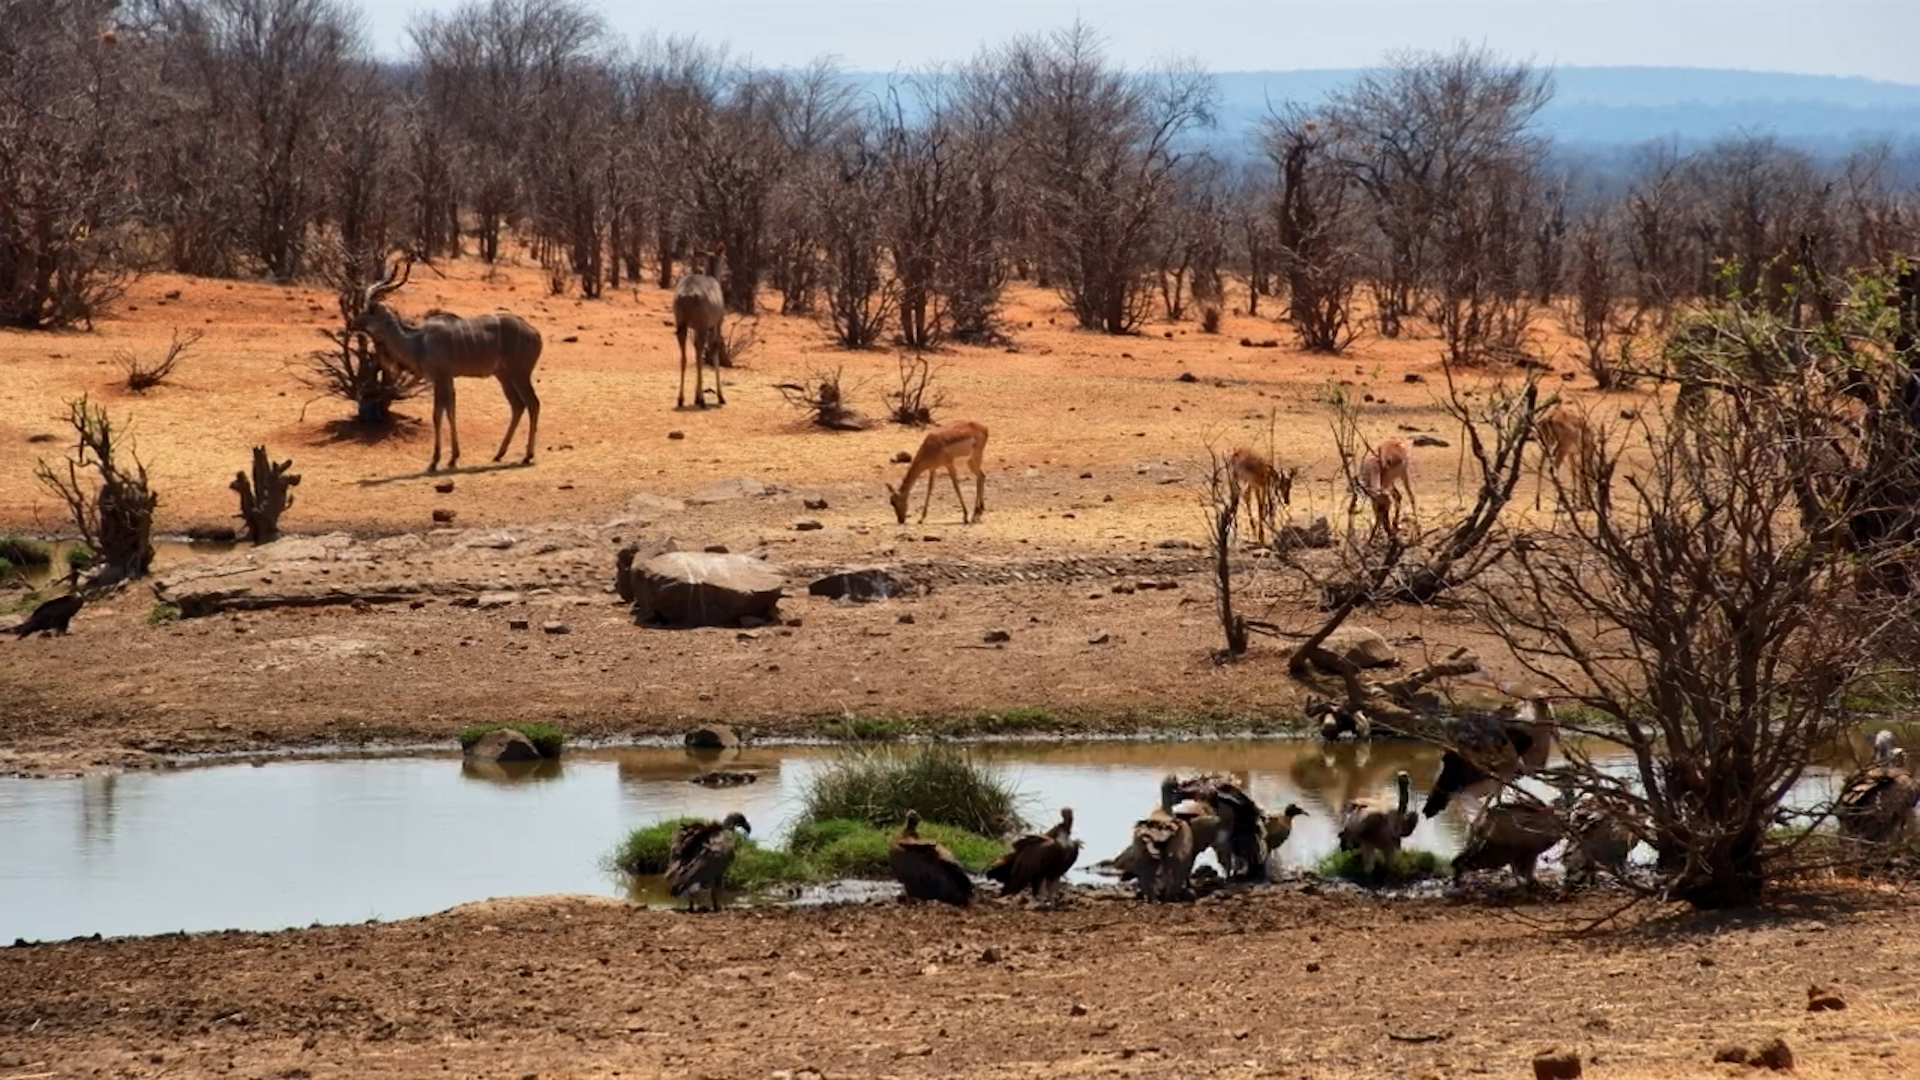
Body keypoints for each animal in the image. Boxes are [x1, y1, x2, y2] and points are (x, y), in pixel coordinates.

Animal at [357, 257, 542, 474]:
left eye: (369, 311)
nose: (353, 323)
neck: (418, 341)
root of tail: (536, 333)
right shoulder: (448, 379)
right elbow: (451, 411)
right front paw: (453, 458)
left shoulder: (440, 378)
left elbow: (438, 415)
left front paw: (434, 462)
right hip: (503, 375)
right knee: (518, 405)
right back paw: (499, 454)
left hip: (520, 373)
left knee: (533, 403)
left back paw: (527, 455)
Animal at [673, 244, 727, 409]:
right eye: (724, 257)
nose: (727, 270)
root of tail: (686, 294)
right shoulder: (716, 324)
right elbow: (714, 350)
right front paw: (720, 397)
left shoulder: (695, 328)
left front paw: (695, 396)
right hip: (702, 327)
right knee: (698, 356)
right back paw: (702, 400)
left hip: (682, 326)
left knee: (684, 358)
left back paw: (681, 399)